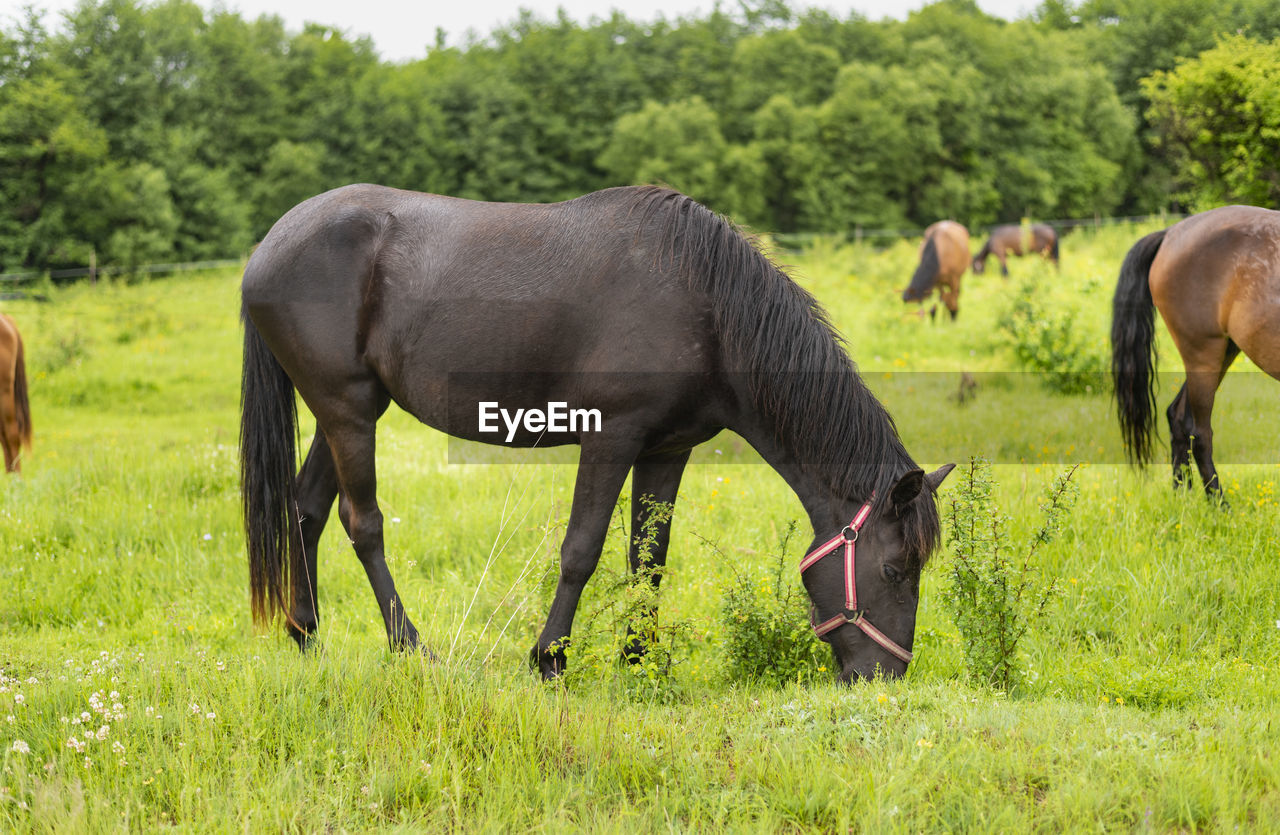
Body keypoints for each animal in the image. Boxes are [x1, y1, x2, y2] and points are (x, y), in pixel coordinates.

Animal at [244, 183, 957, 676]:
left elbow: (649, 559)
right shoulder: (610, 438)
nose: (886, 679)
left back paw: (305, 634)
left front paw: (638, 658)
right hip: (348, 411)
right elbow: (581, 550)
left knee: (306, 509)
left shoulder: (667, 450)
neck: (705, 308)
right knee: (362, 524)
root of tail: (269, 246)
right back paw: (410, 646)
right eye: (894, 570)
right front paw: (550, 657)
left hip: (345, 413)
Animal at [1111, 206, 1280, 499]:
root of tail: (1170, 234)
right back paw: (1219, 504)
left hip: (1223, 352)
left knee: (1178, 416)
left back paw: (1183, 498)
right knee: (1199, 433)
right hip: (1203, 354)